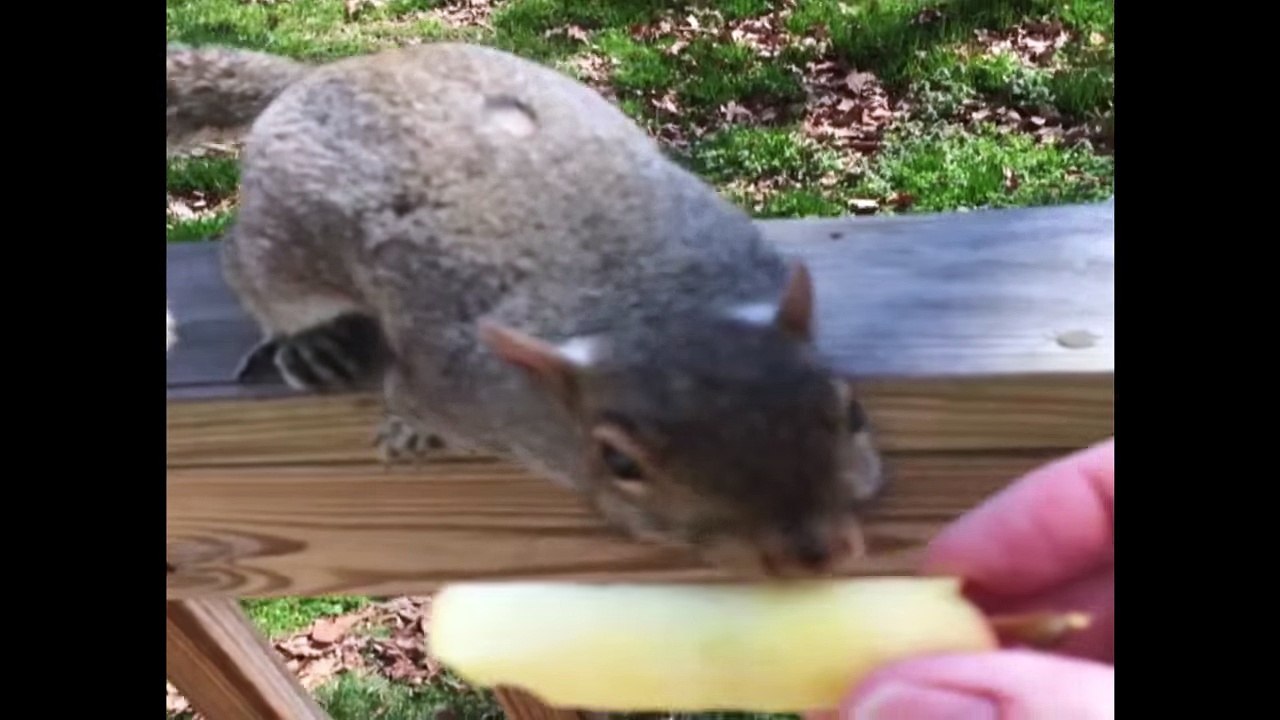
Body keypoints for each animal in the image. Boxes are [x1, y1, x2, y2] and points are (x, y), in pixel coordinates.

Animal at [166, 41, 886, 578]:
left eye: (851, 410)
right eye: (619, 463)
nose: (819, 554)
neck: (652, 302)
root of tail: (312, 79)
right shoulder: (456, 387)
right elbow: (411, 399)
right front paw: (406, 431)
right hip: (284, 252)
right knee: (248, 271)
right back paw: (311, 343)